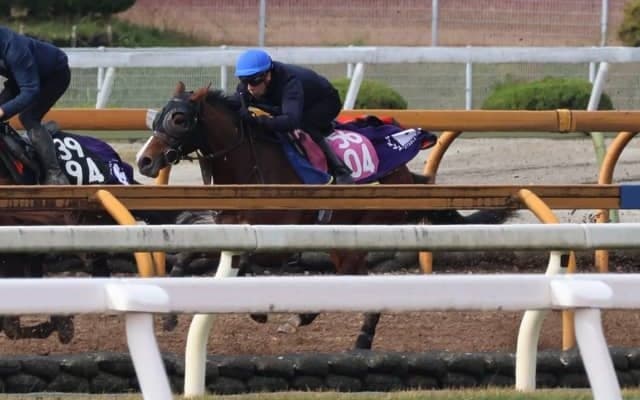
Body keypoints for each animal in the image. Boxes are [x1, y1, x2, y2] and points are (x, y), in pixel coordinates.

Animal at [136, 81, 513, 349]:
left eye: (179, 119)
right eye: (157, 116)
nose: (144, 161)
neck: (251, 166)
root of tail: (405, 172)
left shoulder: (278, 239)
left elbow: (248, 264)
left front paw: (258, 309)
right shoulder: (228, 227)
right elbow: (191, 255)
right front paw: (170, 314)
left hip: (366, 226)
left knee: (345, 275)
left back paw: (300, 320)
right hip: (342, 236)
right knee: (357, 278)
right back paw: (362, 339)